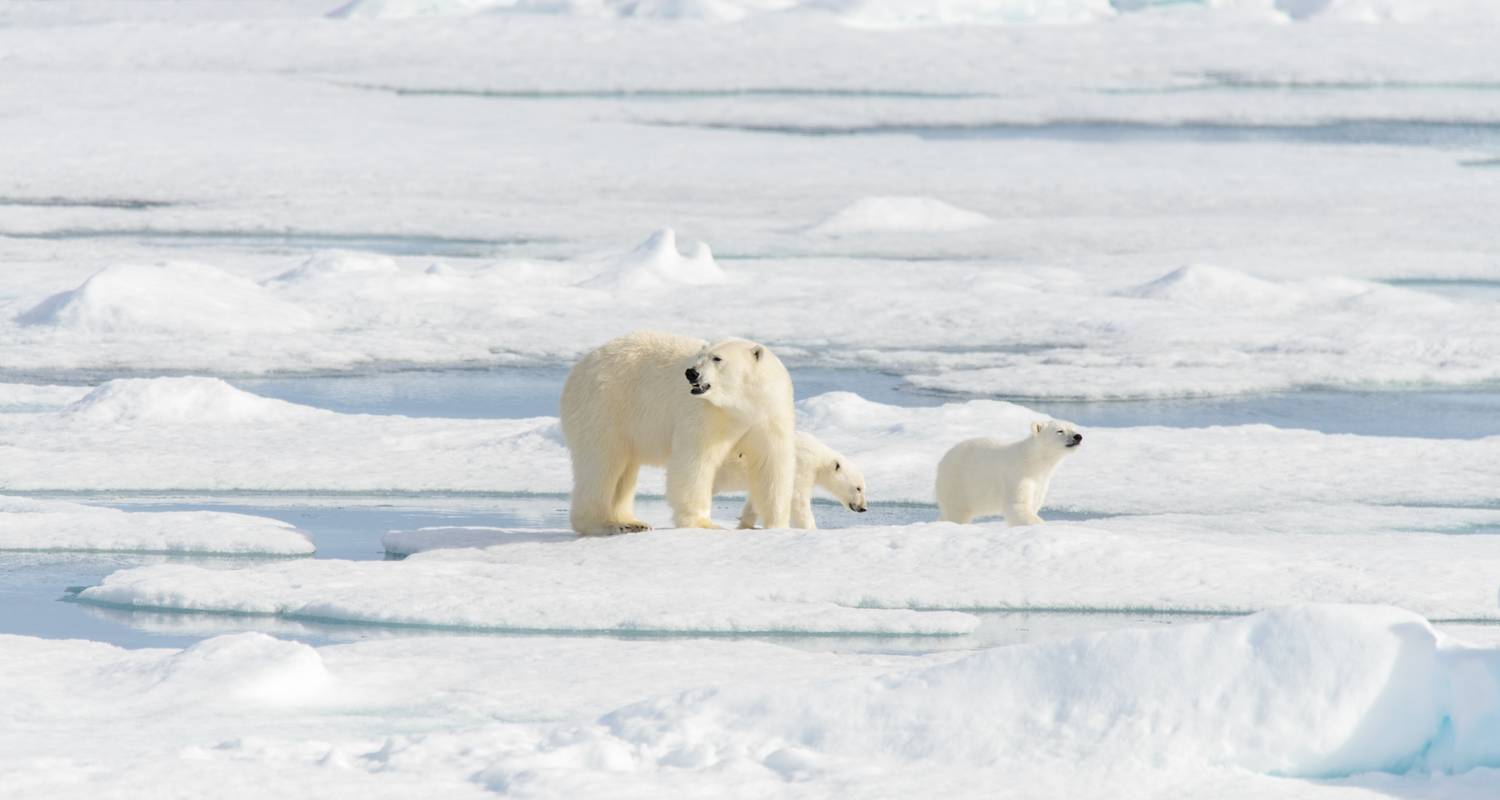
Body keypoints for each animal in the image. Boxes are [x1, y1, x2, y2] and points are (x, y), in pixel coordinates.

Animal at [561, 330, 798, 537]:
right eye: (700, 356)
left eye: (717, 358)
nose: (691, 372)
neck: (740, 406)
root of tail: (579, 368)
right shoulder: (706, 414)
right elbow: (694, 462)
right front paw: (704, 524)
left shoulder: (769, 414)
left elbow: (771, 466)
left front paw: (778, 526)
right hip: (605, 406)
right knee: (602, 463)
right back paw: (604, 524)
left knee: (624, 472)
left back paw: (631, 522)